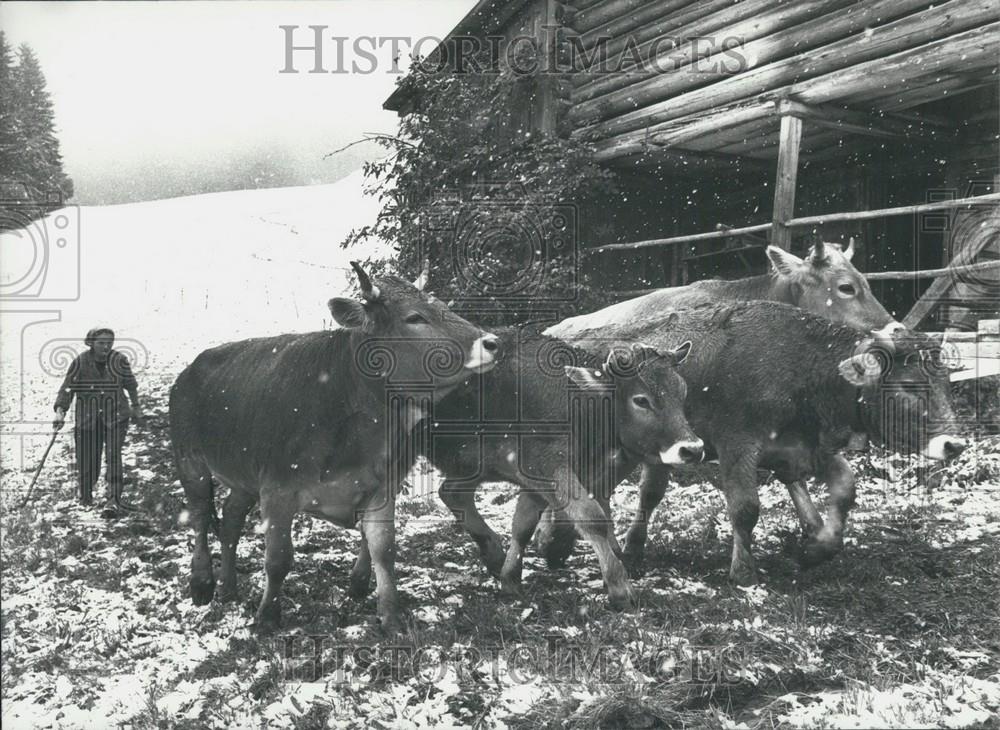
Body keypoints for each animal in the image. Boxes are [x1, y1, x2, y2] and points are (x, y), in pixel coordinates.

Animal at [173, 264, 504, 632]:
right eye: (415, 317)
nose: (492, 342)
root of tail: (194, 366)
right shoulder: (277, 490)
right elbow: (278, 559)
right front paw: (267, 617)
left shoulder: (380, 488)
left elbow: (383, 549)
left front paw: (390, 616)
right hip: (190, 462)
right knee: (200, 517)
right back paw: (202, 583)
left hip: (244, 476)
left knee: (230, 519)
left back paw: (228, 587)